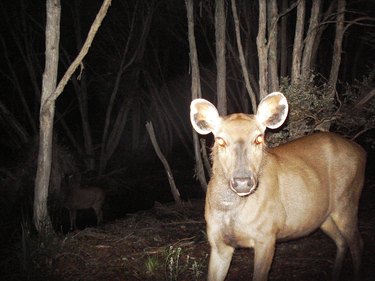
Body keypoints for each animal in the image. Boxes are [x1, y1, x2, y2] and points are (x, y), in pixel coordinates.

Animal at [191, 92, 368, 280]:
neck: (231, 212)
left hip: (347, 200)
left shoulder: (267, 234)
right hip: (323, 215)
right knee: (341, 241)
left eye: (259, 138)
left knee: (358, 243)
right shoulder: (217, 242)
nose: (242, 181)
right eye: (220, 140)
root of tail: (362, 151)